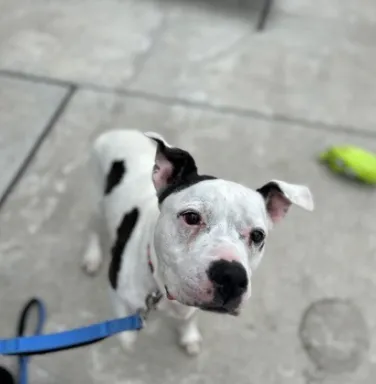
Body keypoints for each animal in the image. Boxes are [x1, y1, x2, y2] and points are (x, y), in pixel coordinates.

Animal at [83, 130, 314, 356]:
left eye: (258, 236)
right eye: (192, 217)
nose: (232, 277)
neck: (159, 286)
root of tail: (118, 131)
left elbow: (189, 318)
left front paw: (189, 336)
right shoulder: (119, 295)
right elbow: (124, 331)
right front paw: (127, 339)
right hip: (97, 202)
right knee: (92, 228)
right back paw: (92, 257)